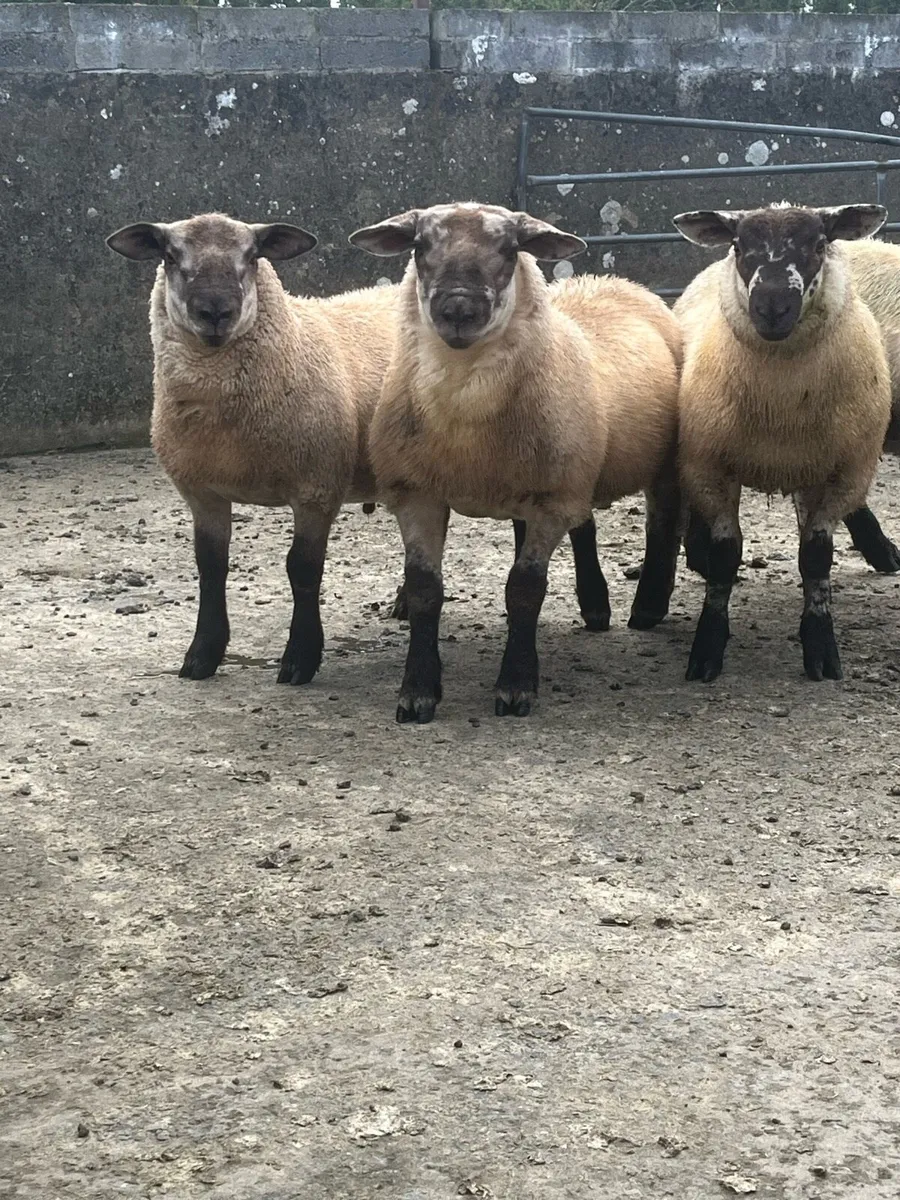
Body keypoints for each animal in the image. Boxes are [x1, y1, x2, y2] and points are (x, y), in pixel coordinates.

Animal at [106, 211, 403, 684]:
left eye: (251, 255)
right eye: (169, 255)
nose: (214, 312)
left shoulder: (316, 488)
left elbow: (302, 569)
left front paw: (300, 658)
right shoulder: (203, 493)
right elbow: (210, 567)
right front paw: (202, 655)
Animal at [349, 201, 682, 723]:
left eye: (510, 249)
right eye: (419, 245)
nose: (458, 309)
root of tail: (615, 281)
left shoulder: (549, 499)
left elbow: (524, 589)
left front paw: (516, 685)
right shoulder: (419, 492)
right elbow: (426, 590)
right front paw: (418, 691)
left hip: (643, 464)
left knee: (662, 523)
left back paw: (644, 606)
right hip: (563, 469)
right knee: (583, 524)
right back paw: (596, 605)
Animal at [672, 202, 893, 684]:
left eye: (820, 244)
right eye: (738, 246)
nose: (772, 306)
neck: (782, 403)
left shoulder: (842, 475)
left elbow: (816, 557)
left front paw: (821, 647)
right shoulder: (710, 467)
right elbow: (725, 555)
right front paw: (707, 647)